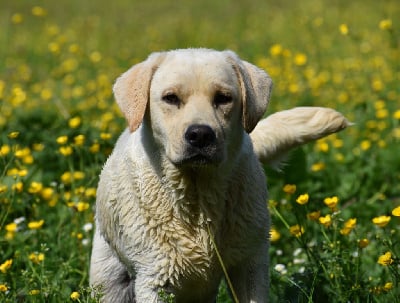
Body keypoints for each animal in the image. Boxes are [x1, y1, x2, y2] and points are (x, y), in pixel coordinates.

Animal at [89, 48, 348, 302]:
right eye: (170, 98)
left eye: (223, 98)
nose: (200, 135)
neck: (198, 197)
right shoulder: (156, 276)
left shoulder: (249, 264)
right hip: (108, 276)